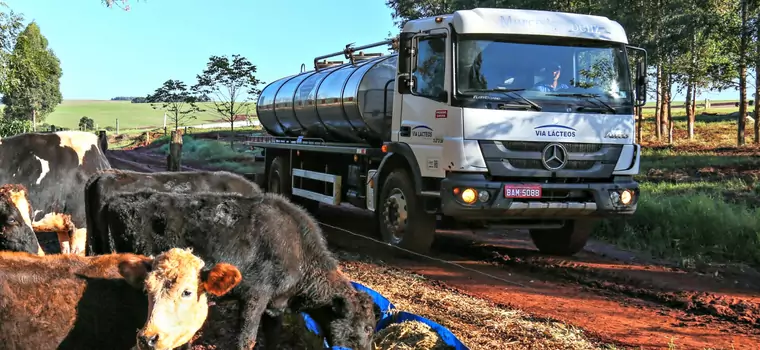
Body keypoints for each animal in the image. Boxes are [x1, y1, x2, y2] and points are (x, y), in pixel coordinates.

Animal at [98, 190, 378, 350]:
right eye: (367, 328)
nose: (368, 349)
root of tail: (113, 200)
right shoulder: (255, 296)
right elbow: (247, 339)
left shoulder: (274, 305)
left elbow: (272, 337)